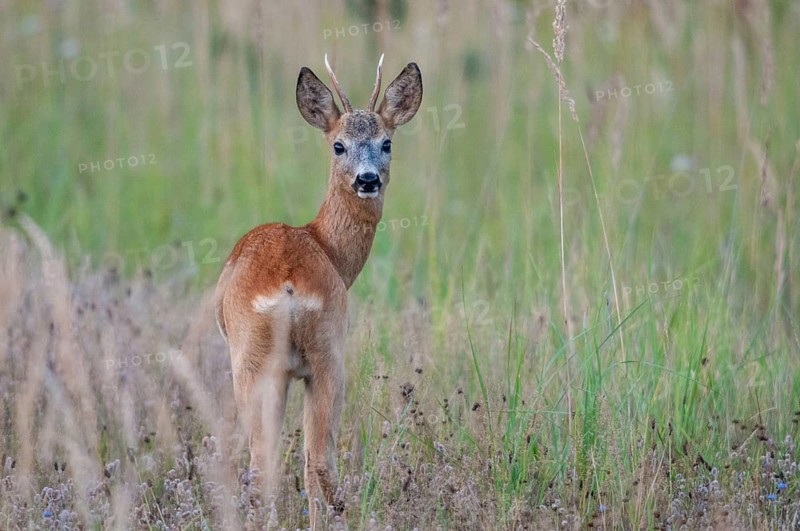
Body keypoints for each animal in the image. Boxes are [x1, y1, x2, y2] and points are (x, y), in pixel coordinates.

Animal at [214, 55, 422, 518]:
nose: (367, 180)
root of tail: (289, 283)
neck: (327, 247)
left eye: (386, 142)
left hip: (267, 361)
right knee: (310, 465)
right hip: (317, 356)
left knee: (284, 467)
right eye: (338, 145)